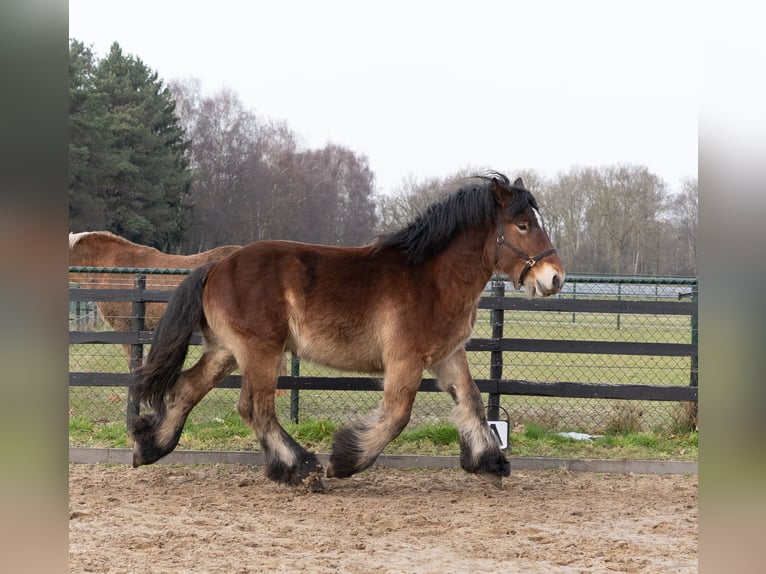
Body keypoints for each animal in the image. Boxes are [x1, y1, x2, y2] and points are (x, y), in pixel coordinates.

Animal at [130, 172, 564, 490]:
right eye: (522, 225)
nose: (555, 278)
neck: (433, 277)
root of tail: (216, 267)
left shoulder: (446, 355)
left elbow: (471, 402)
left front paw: (490, 462)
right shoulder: (405, 359)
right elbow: (396, 415)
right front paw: (343, 461)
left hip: (226, 352)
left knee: (187, 388)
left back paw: (149, 446)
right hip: (260, 351)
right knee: (255, 407)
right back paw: (302, 468)